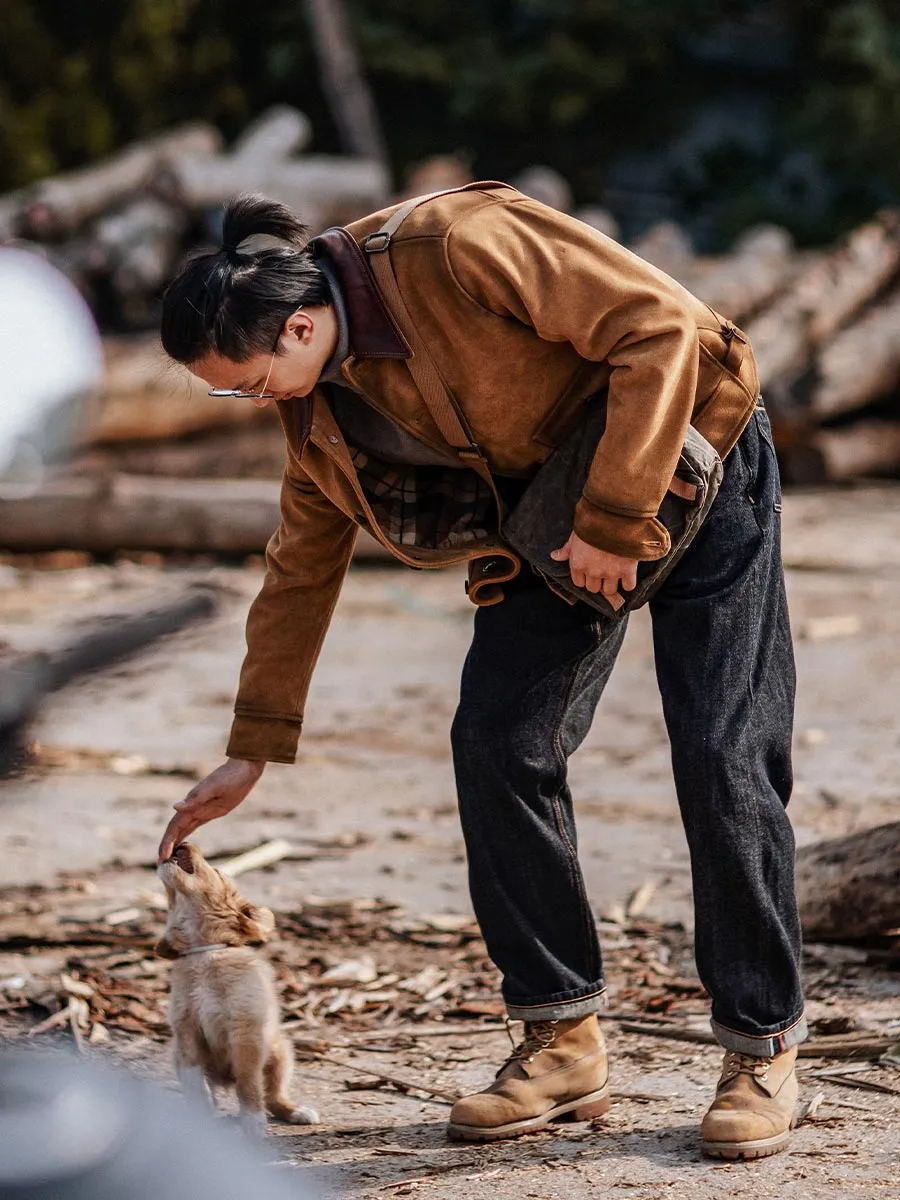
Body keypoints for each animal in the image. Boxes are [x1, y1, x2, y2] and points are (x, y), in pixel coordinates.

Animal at [157, 835, 319, 1132]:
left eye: (218, 872)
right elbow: (195, 1081)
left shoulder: (246, 1033)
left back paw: (296, 1111)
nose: (182, 842)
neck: (205, 953)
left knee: (272, 1095)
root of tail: (225, 1081)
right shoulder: (185, 1032)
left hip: (281, 1051)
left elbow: (248, 1082)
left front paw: (252, 1120)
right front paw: (198, 1117)